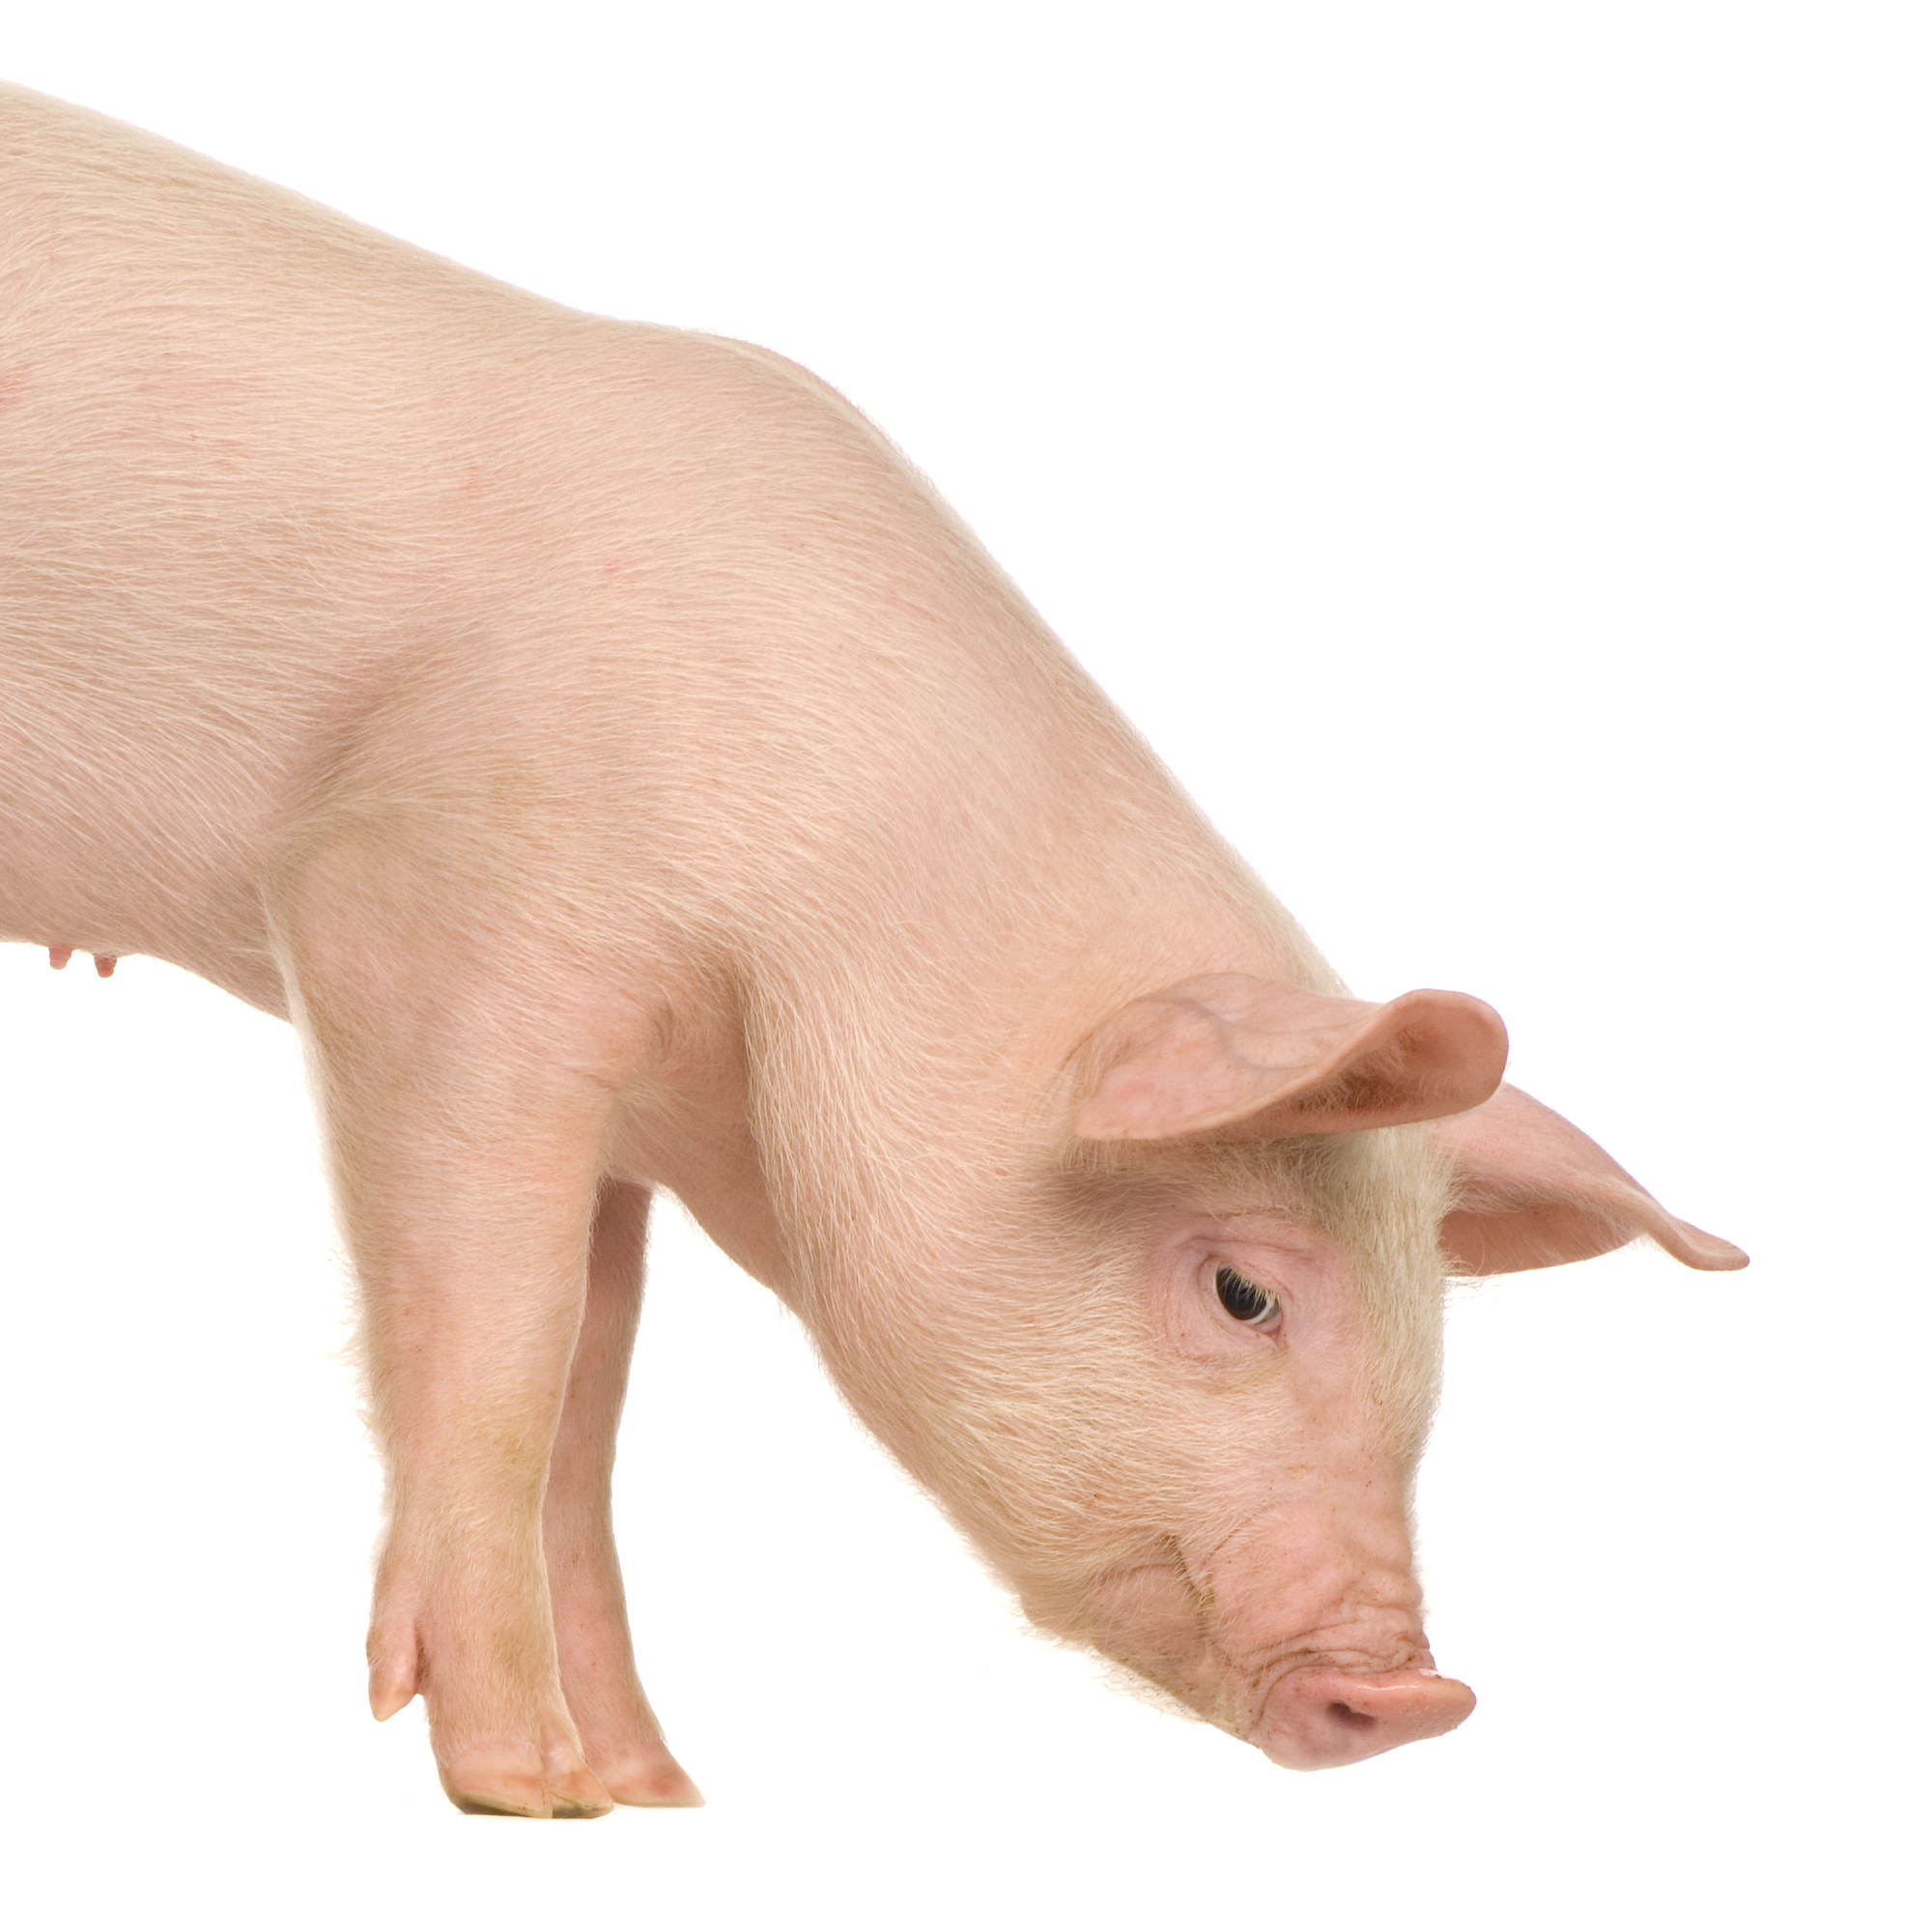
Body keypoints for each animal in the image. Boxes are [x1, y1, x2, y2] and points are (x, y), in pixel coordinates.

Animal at [0, 80, 1745, 1818]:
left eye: (1429, 1332)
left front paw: (654, 1793)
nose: (1425, 1699)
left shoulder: (619, 1123)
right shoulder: (420, 923)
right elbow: (505, 1352)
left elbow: (586, 1404)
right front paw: (528, 1792)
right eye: (1245, 1290)